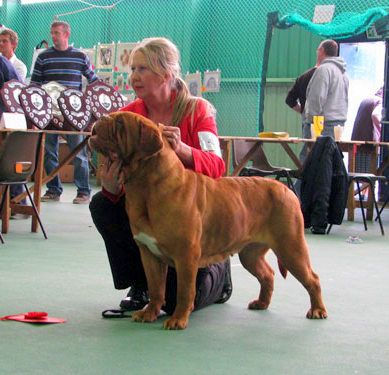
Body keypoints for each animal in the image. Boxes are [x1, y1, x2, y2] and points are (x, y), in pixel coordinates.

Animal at [89, 113, 326, 330]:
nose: (98, 118)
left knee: (312, 278)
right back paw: (261, 303)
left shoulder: (186, 255)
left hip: (291, 248)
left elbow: (185, 291)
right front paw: (149, 313)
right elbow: (156, 287)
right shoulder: (148, 253)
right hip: (250, 253)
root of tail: (287, 189)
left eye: (120, 123)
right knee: (267, 274)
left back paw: (317, 310)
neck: (145, 187)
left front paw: (177, 320)